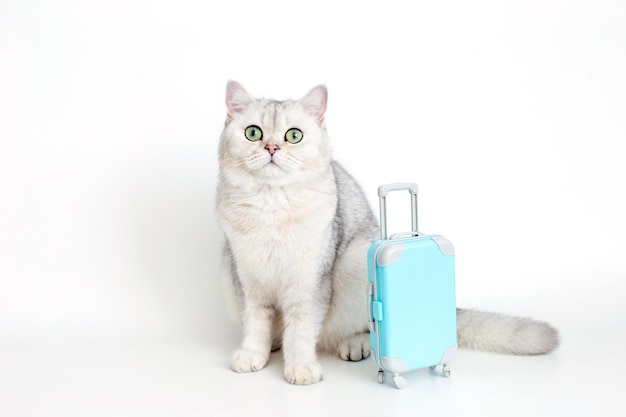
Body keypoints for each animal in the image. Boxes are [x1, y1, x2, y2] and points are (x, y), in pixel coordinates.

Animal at [214, 81, 556, 384]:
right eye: (253, 133)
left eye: (293, 136)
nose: (271, 147)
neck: (271, 205)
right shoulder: (245, 280)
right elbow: (255, 323)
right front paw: (253, 353)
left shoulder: (309, 284)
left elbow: (300, 330)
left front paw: (300, 367)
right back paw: (276, 341)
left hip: (355, 262)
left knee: (363, 327)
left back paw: (356, 345)